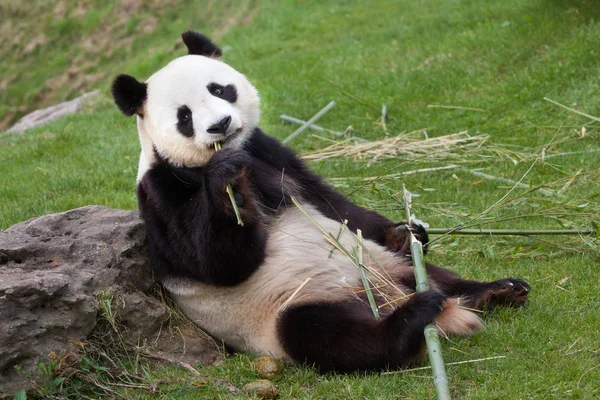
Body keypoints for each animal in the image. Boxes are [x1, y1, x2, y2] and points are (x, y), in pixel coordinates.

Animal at [111, 31, 528, 372]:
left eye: (219, 89)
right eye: (184, 117)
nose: (220, 126)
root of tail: (379, 296)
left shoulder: (266, 150)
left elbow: (329, 202)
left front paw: (404, 230)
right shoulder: (162, 190)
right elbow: (213, 262)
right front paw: (227, 184)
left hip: (379, 264)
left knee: (429, 273)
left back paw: (495, 289)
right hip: (283, 308)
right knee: (328, 335)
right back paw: (411, 320)